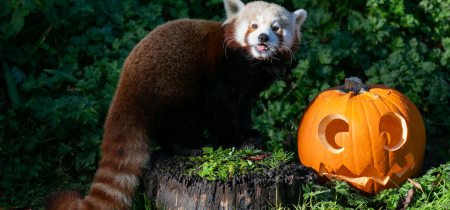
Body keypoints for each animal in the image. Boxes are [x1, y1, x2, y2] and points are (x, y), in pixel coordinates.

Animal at [44, 0, 306, 209]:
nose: (263, 37)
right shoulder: (228, 66)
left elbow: (242, 108)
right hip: (174, 87)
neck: (256, 62)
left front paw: (250, 134)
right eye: (253, 25)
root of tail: (126, 92)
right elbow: (221, 106)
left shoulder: (252, 85)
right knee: (186, 118)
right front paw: (236, 143)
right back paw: (189, 146)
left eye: (275, 27)